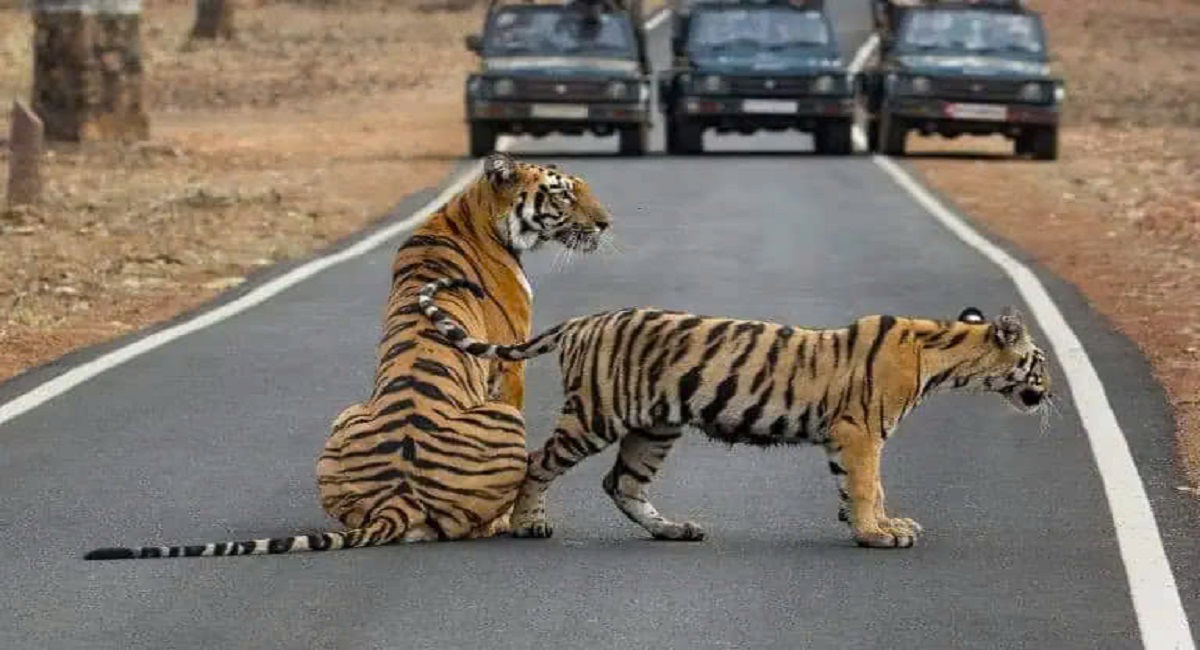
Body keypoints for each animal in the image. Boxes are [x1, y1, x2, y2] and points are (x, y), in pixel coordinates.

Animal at [85, 152, 614, 561]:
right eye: (564, 194)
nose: (606, 223)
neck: (469, 212)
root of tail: (399, 497)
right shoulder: (510, 363)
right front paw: (520, 515)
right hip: (501, 417)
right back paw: (499, 522)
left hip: (345, 417)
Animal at [415, 280, 1051, 551]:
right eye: (1038, 362)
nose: (1048, 393)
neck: (945, 355)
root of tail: (581, 321)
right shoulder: (861, 431)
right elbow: (870, 484)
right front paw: (877, 533)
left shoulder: (846, 437)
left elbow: (859, 487)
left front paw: (869, 525)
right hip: (595, 416)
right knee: (536, 462)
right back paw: (529, 523)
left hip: (654, 427)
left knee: (621, 483)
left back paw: (673, 530)